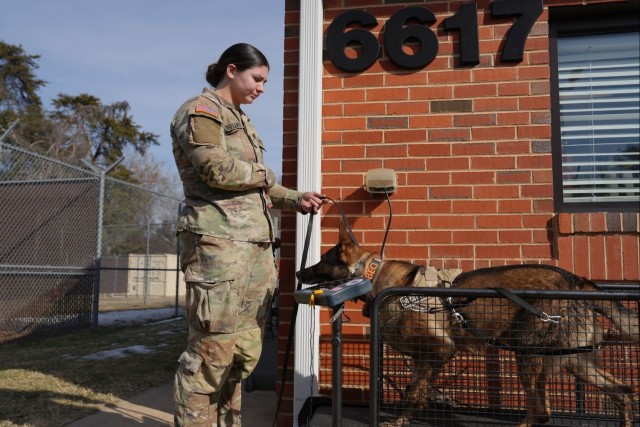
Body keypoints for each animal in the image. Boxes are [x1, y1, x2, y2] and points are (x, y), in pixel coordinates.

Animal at [298, 222, 636, 427]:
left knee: (540, 408)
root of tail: (576, 280)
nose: (300, 273)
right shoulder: (423, 358)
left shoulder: (441, 351)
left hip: (527, 352)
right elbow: (412, 390)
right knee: (621, 391)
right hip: (575, 361)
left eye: (321, 261)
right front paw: (405, 419)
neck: (373, 275)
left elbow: (414, 391)